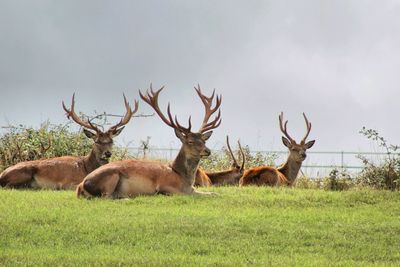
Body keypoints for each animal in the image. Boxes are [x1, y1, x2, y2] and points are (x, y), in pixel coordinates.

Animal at [0, 94, 138, 191]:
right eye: (97, 141)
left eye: (111, 141)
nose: (108, 153)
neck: (87, 167)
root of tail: (2, 174)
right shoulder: (68, 182)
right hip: (24, 172)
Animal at [76, 85, 222, 199]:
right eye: (190, 141)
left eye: (204, 140)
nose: (207, 151)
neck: (183, 179)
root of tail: (80, 186)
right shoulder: (166, 186)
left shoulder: (193, 189)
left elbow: (214, 194)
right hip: (111, 176)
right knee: (105, 196)